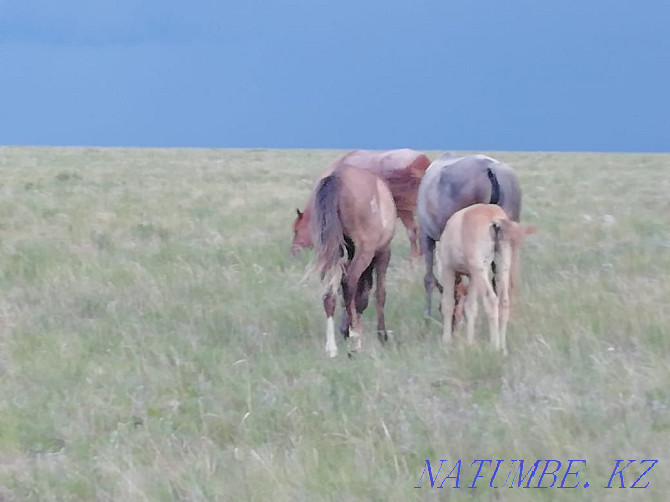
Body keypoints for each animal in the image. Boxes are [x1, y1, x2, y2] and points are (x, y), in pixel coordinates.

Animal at [312, 165, 396, 356]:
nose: (344, 329)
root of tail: (338, 177)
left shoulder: (350, 252)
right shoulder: (383, 253)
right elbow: (379, 293)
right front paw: (381, 334)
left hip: (331, 249)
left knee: (329, 291)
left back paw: (332, 347)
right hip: (366, 250)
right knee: (348, 282)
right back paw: (355, 340)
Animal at [438, 202, 540, 354]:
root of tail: (495, 220)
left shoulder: (448, 270)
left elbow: (448, 304)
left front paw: (446, 342)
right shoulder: (472, 276)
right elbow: (471, 307)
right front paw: (470, 342)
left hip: (481, 270)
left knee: (492, 299)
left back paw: (494, 347)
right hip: (501, 266)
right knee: (504, 301)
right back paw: (503, 348)